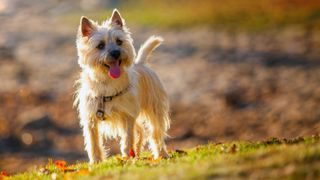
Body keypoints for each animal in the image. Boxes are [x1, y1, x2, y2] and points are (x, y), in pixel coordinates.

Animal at [74, 9, 171, 164]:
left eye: (119, 41)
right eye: (100, 45)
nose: (115, 52)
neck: (107, 82)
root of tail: (141, 63)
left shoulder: (127, 116)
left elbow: (127, 138)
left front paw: (126, 157)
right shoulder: (90, 120)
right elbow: (93, 143)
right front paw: (96, 162)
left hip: (154, 110)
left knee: (155, 133)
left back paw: (161, 154)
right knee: (140, 131)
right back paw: (136, 152)